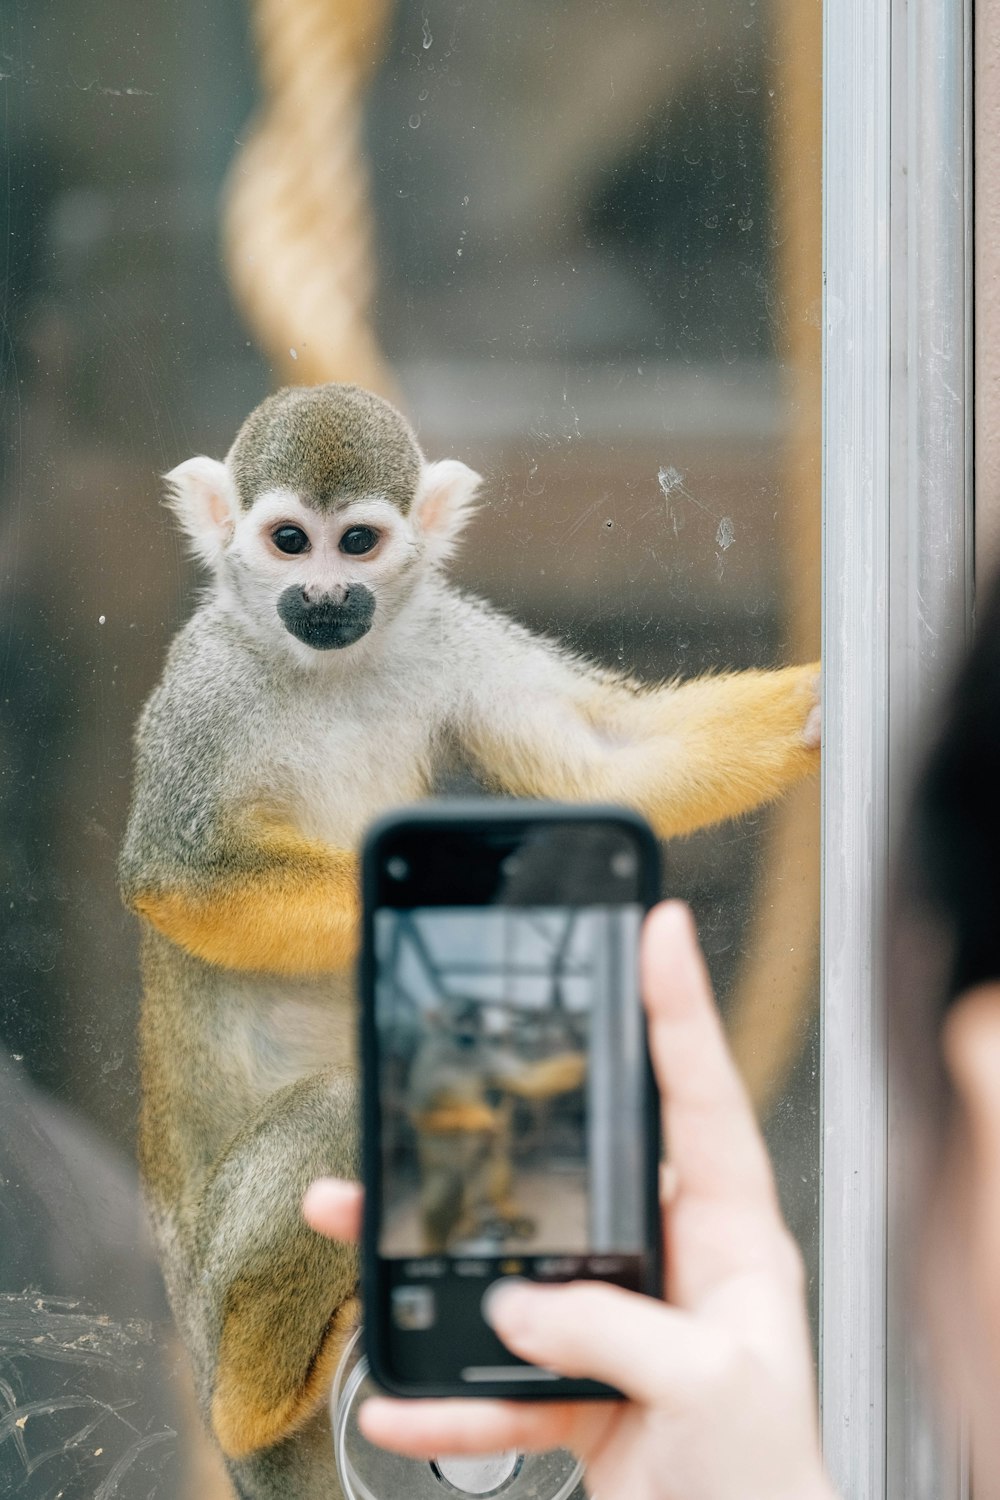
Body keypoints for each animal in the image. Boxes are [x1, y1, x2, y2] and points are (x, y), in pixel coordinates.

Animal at [119, 384, 821, 1500]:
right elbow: (178, 875)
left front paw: (819, 704)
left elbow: (607, 759)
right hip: (209, 1291)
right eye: (287, 541)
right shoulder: (205, 684)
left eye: (358, 542)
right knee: (344, 1114)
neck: (323, 667)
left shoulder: (441, 637)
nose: (323, 595)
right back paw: (255, 1398)